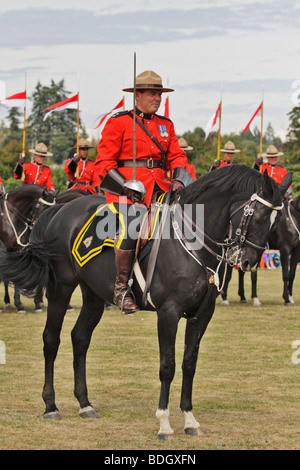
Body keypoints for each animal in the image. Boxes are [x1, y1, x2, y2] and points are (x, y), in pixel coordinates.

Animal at [0, 167, 292, 438]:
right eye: (259, 216)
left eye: (277, 220)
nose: (249, 262)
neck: (193, 242)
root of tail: (61, 210)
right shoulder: (168, 313)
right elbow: (167, 366)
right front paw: (164, 423)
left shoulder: (202, 314)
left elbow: (189, 364)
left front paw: (190, 420)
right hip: (61, 287)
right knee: (51, 339)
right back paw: (51, 406)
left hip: (93, 294)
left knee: (80, 338)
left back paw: (85, 404)